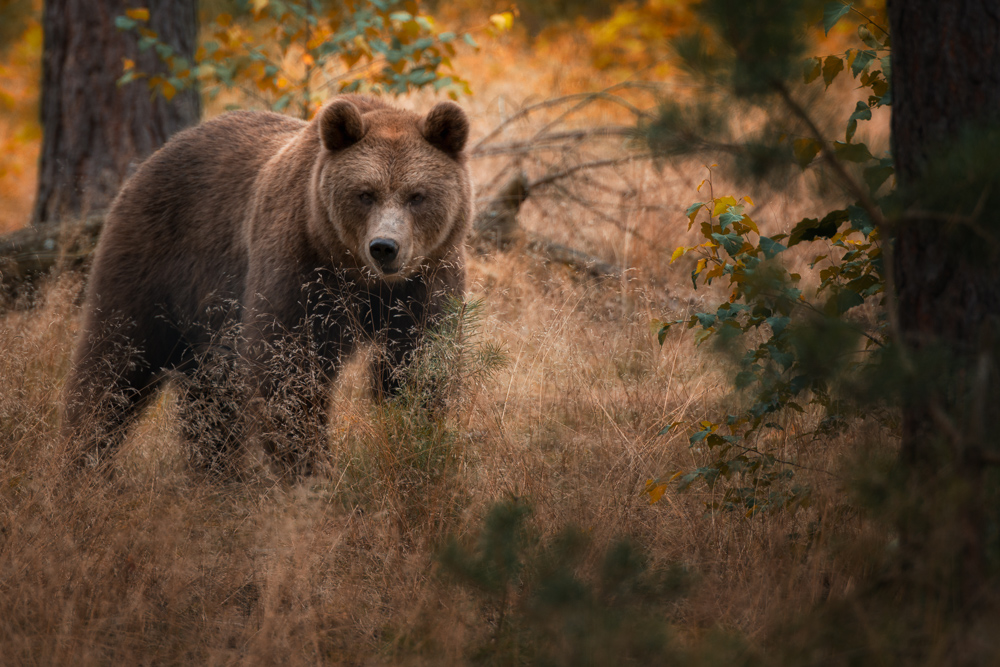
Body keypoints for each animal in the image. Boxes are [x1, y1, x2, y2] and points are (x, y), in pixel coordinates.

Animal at [64, 95, 474, 474]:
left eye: (417, 195)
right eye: (365, 193)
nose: (385, 247)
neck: (359, 276)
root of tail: (156, 155)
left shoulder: (426, 282)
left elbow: (418, 365)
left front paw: (416, 440)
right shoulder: (300, 266)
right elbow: (287, 371)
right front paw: (312, 468)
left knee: (210, 398)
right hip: (153, 262)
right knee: (116, 361)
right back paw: (82, 459)